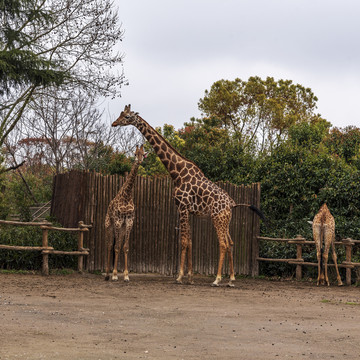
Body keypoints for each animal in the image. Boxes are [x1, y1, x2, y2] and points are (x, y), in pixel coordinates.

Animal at [104, 143, 145, 282]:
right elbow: (115, 247)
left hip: (121, 228)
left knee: (118, 243)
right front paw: (115, 275)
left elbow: (125, 247)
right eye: (135, 153)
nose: (139, 161)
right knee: (110, 245)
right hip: (109, 226)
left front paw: (126, 275)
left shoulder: (129, 222)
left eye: (143, 154)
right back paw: (107, 274)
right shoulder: (117, 221)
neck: (127, 196)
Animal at [111, 105, 266, 286]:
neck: (177, 172)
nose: (114, 123)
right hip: (226, 220)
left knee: (223, 244)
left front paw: (179, 277)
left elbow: (184, 242)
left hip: (217, 218)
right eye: (121, 114)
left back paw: (217, 279)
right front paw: (190, 277)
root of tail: (231, 204)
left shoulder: (182, 207)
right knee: (230, 243)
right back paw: (231, 279)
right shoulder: (189, 211)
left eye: (127, 117)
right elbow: (190, 241)